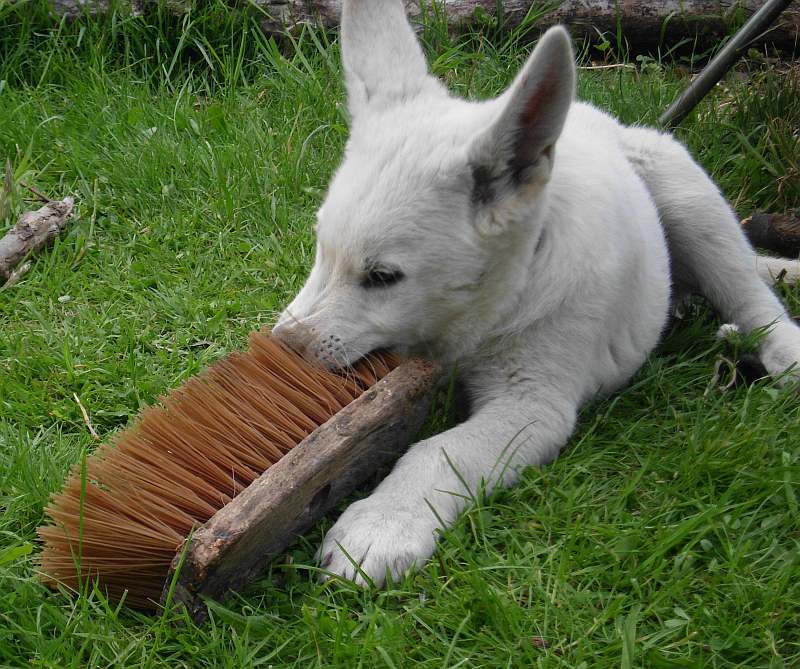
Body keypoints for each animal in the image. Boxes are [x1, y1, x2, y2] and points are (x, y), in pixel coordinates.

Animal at [272, 0, 796, 584]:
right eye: (320, 245)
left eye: (383, 277)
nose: (283, 351)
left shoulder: (533, 404)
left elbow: (439, 450)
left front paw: (383, 523)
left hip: (685, 191)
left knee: (750, 292)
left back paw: (782, 351)